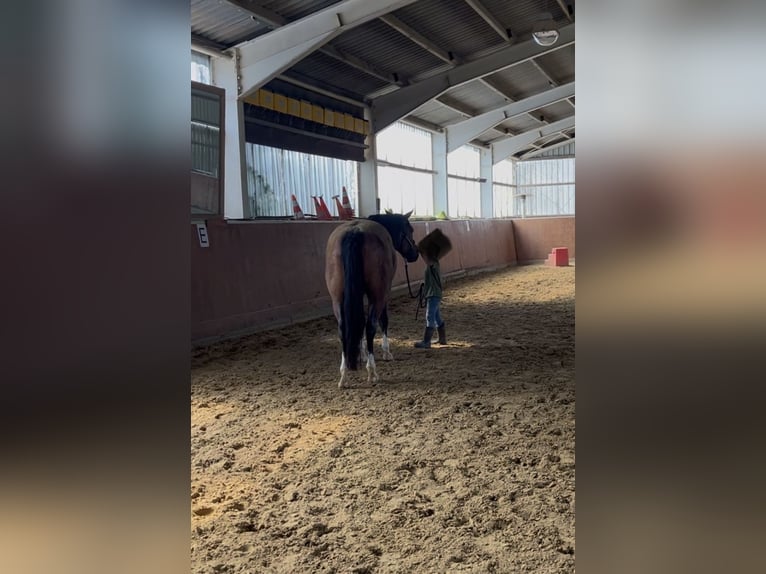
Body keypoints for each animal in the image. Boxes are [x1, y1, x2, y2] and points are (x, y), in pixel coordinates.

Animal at [325, 211, 420, 388]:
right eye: (410, 230)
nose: (415, 254)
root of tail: (354, 233)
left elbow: (359, 321)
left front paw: (360, 353)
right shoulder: (384, 294)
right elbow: (383, 321)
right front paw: (386, 352)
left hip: (337, 298)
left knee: (343, 329)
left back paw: (344, 375)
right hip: (378, 295)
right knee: (371, 326)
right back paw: (372, 371)